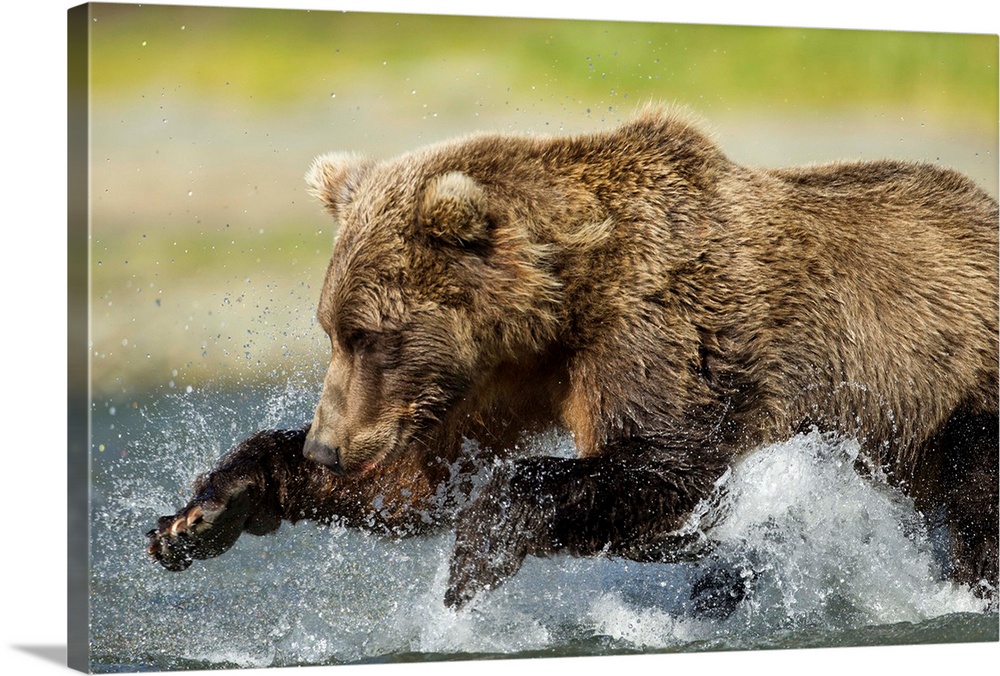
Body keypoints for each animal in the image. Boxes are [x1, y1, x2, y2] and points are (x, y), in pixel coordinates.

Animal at [150, 104, 1000, 608]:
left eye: (368, 334)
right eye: (330, 328)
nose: (328, 448)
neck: (561, 307)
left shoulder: (663, 333)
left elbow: (662, 466)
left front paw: (474, 561)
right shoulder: (503, 379)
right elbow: (415, 483)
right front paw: (201, 515)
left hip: (958, 394)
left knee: (973, 510)